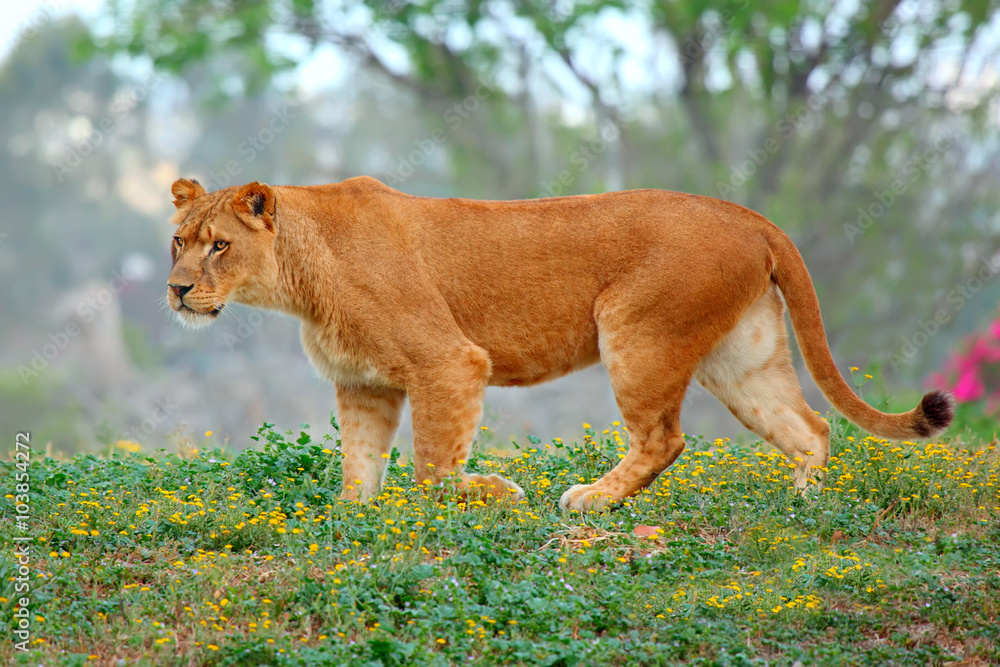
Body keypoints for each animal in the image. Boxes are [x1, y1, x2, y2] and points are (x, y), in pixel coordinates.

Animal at [166, 176, 953, 510]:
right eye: (178, 242)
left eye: (219, 246)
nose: (174, 289)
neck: (299, 274)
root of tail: (749, 215)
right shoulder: (364, 384)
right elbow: (359, 472)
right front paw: (351, 522)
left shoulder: (448, 362)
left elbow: (432, 469)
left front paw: (495, 493)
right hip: (741, 356)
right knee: (810, 424)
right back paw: (803, 504)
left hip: (636, 331)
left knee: (664, 438)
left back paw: (591, 500)